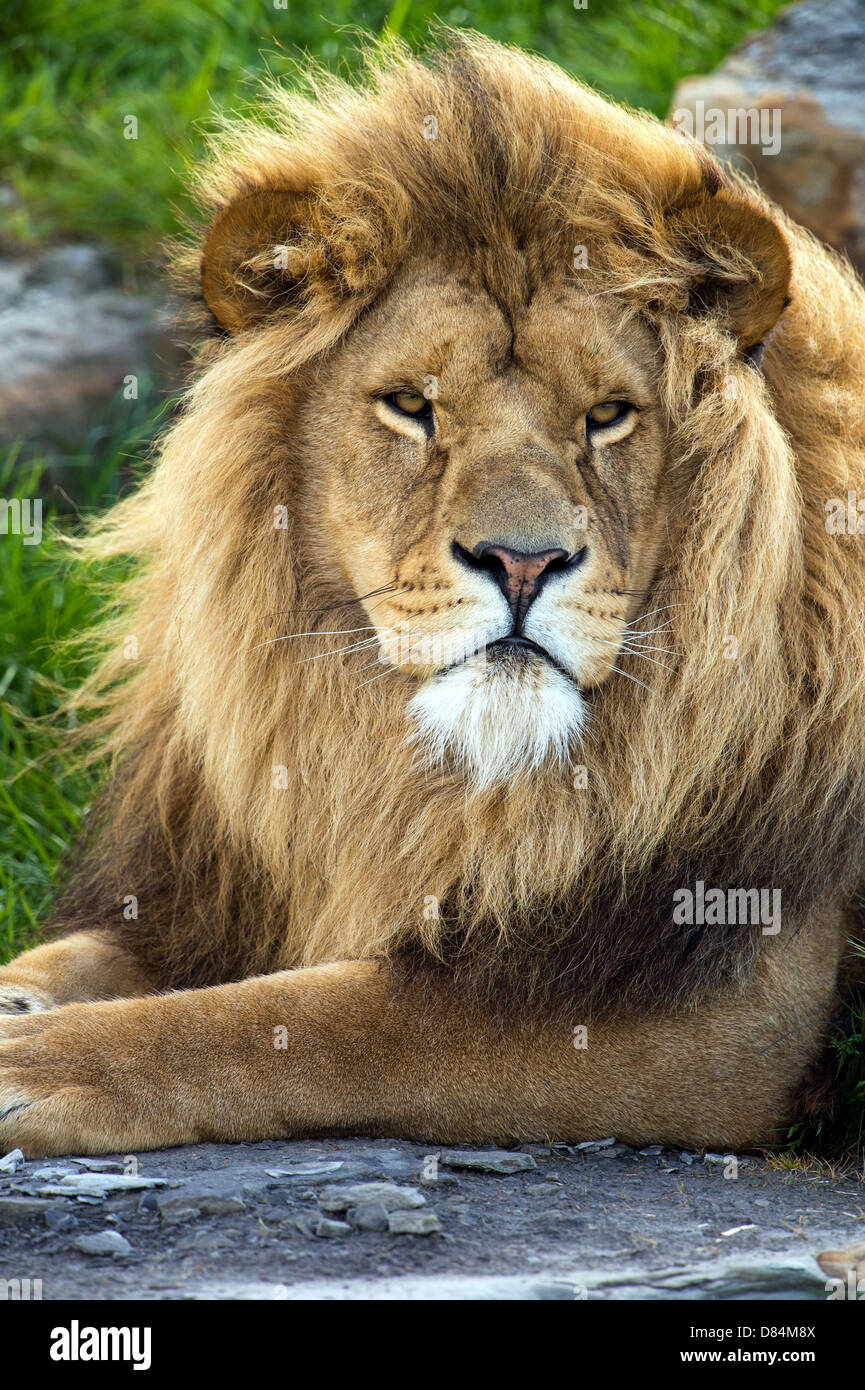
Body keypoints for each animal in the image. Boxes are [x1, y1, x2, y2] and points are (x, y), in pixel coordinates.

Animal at [1, 32, 865, 1156]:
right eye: (411, 407)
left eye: (608, 415)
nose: (523, 562)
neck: (415, 775)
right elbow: (97, 956)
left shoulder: (724, 1008)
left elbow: (301, 1020)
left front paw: (37, 1061)